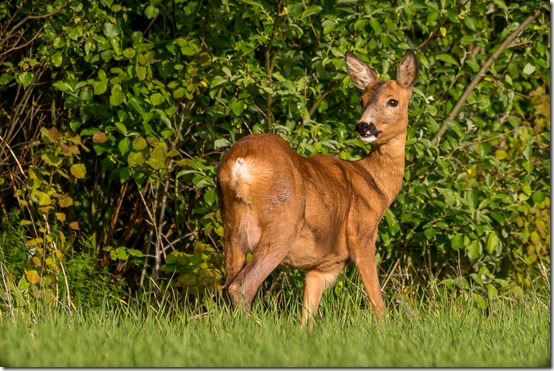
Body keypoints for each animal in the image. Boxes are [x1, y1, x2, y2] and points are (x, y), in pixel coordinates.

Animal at [218, 49, 416, 328]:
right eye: (362, 100)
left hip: (232, 228)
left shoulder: (321, 268)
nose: (363, 126)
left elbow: (307, 320)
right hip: (281, 225)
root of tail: (240, 163)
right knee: (241, 286)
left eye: (392, 101)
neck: (374, 183)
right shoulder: (362, 234)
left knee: (227, 285)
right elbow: (377, 300)